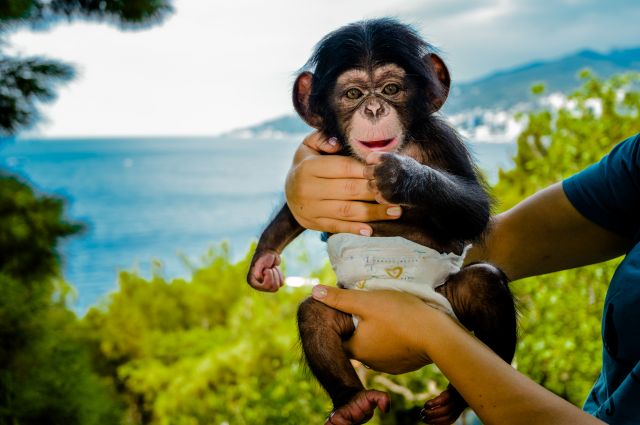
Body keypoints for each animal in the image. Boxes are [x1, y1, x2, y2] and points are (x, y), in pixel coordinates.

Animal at [248, 18, 516, 422]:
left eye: (391, 89)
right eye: (353, 93)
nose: (374, 109)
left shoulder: (442, 139)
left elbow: (473, 208)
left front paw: (402, 175)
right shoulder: (329, 153)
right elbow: (298, 213)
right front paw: (264, 261)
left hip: (448, 303)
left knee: (484, 285)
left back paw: (456, 399)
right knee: (314, 314)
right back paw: (352, 403)